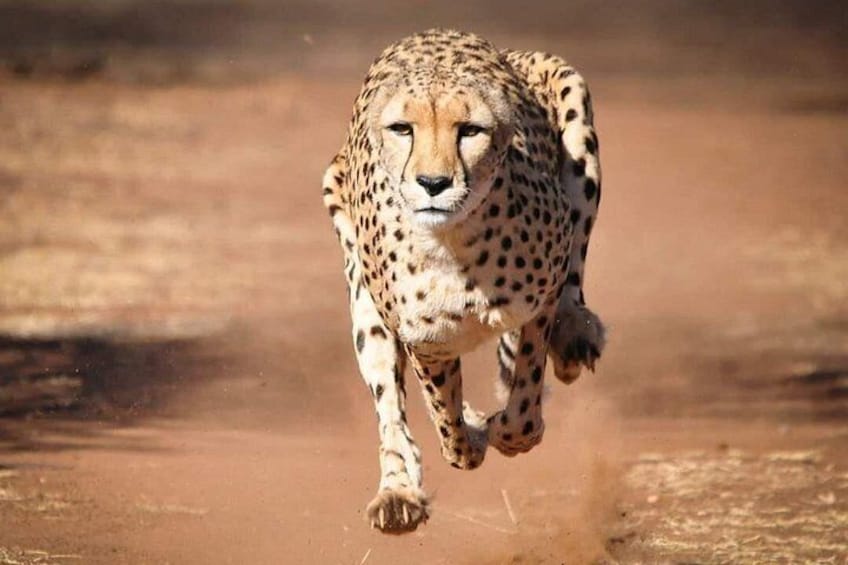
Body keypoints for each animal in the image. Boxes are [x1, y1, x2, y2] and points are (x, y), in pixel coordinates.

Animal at [322, 29, 605, 534]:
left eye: (470, 130)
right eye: (403, 129)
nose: (433, 183)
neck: (454, 243)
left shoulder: (540, 298)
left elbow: (523, 405)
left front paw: (503, 430)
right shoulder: (425, 342)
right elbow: (444, 417)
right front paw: (470, 438)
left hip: (576, 121)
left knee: (576, 263)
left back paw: (574, 335)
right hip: (363, 301)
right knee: (390, 408)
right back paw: (398, 492)